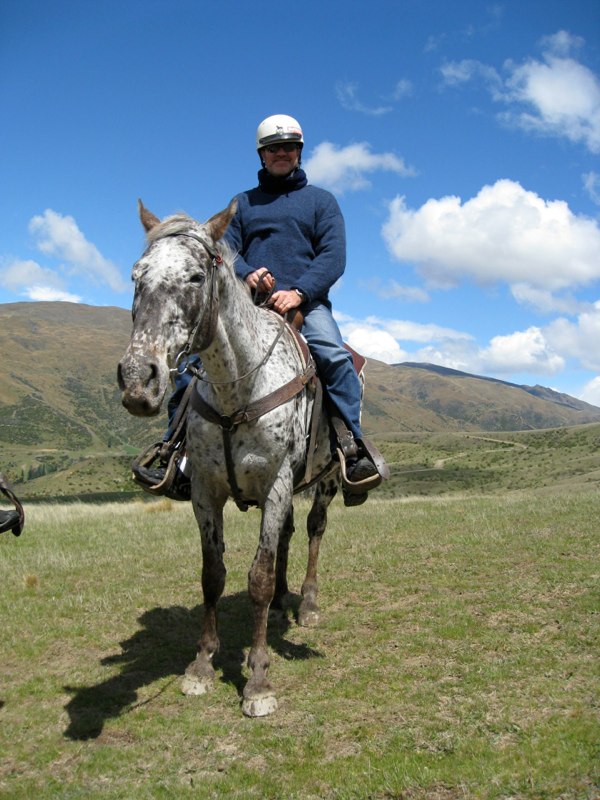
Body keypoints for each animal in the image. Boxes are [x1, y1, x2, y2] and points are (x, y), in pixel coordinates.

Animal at [117, 200, 340, 716]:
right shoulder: (206, 490)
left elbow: (256, 577)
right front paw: (201, 665)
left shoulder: (277, 483)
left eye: (196, 276)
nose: (138, 380)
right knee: (287, 535)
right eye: (136, 275)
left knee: (314, 531)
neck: (238, 388)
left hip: (323, 481)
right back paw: (282, 601)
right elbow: (212, 574)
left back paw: (307, 604)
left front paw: (257, 681)